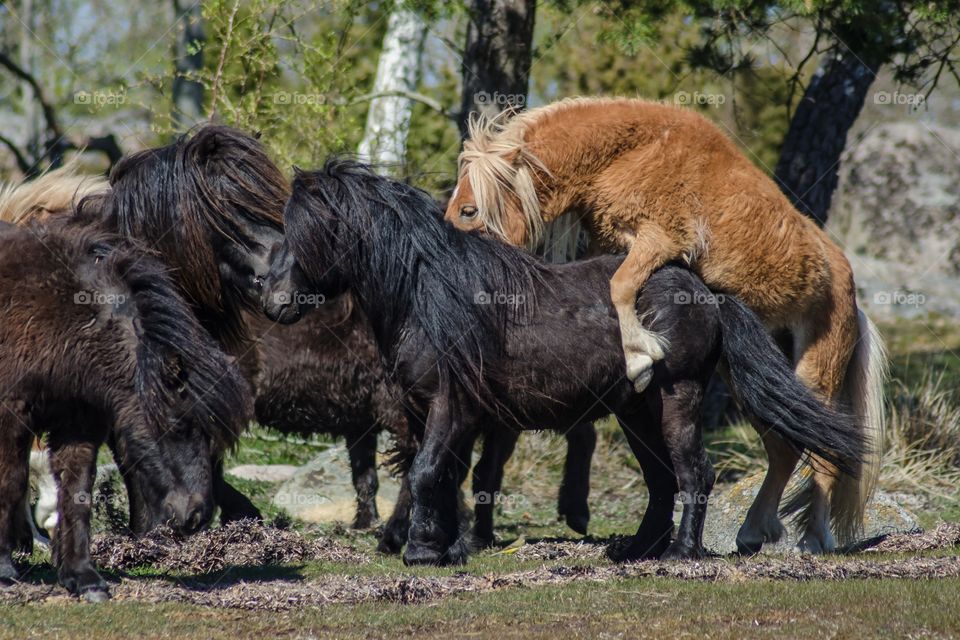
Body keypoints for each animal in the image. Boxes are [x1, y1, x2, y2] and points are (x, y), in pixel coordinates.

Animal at [0, 222, 248, 600]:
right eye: (178, 424)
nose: (195, 516)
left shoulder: (80, 423)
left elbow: (77, 492)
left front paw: (83, 577)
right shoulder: (11, 413)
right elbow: (11, 482)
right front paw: (3, 566)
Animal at [260, 160, 865, 565]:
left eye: (304, 234)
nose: (271, 299)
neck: (428, 296)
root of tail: (706, 294)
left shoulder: (450, 406)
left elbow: (428, 470)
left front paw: (422, 552)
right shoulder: (427, 412)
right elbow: (439, 474)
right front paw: (443, 547)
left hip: (678, 399)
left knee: (695, 473)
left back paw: (680, 554)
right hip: (636, 413)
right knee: (661, 481)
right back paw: (635, 550)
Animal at [444, 97, 888, 554]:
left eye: (469, 210)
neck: (629, 152)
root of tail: (849, 288)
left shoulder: (659, 240)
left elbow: (620, 286)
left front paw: (640, 357)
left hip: (816, 373)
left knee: (823, 452)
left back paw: (814, 539)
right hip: (753, 379)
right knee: (784, 448)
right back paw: (753, 532)